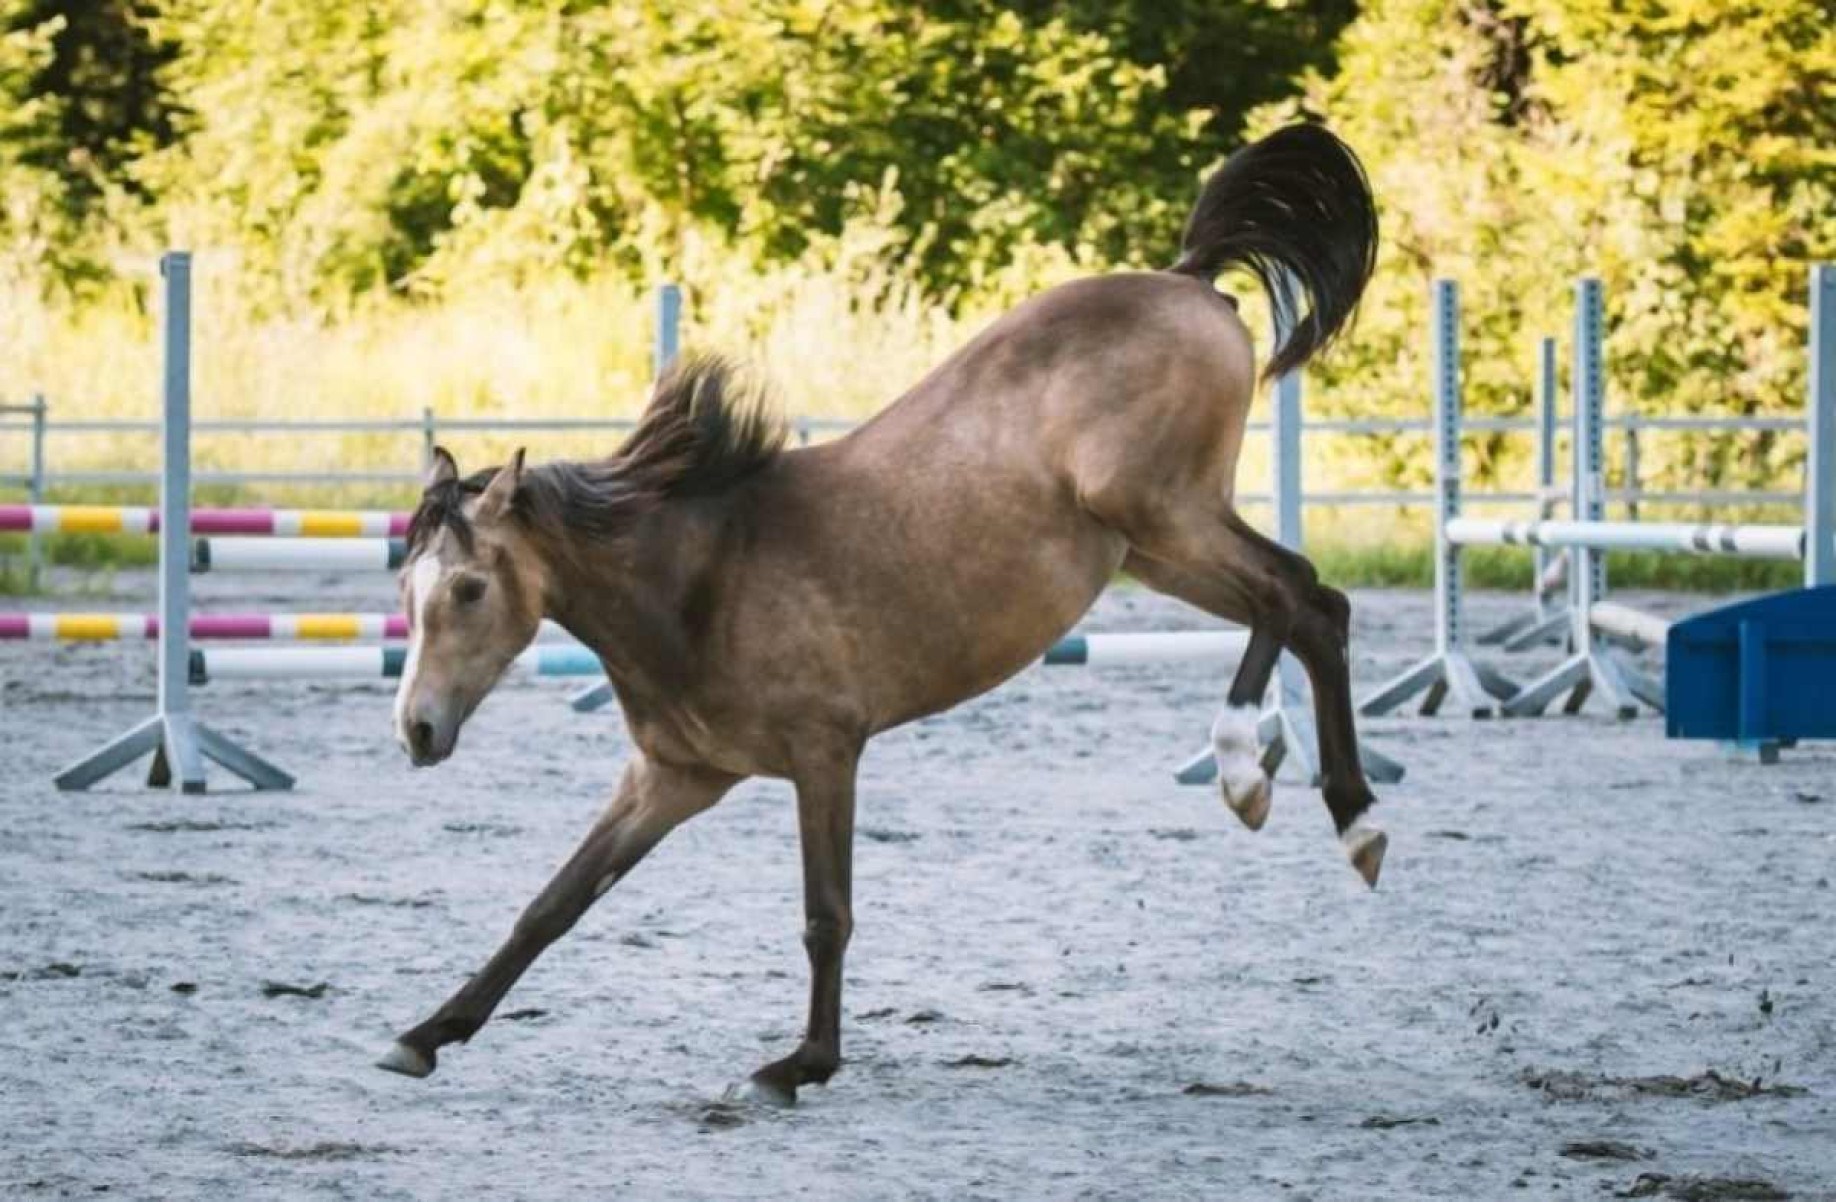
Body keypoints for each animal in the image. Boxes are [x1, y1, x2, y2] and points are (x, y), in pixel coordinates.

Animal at [372, 122, 1380, 1108]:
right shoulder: (674, 779)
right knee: (1310, 605)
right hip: (1152, 551)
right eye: (406, 590)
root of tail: (1188, 279)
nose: (416, 730)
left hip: (1164, 513)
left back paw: (1259, 773)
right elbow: (554, 904)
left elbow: (826, 914)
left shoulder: (825, 754)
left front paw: (797, 1066)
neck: (700, 580)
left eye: (469, 589)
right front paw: (425, 1035)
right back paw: (1335, 810)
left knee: (1293, 592)